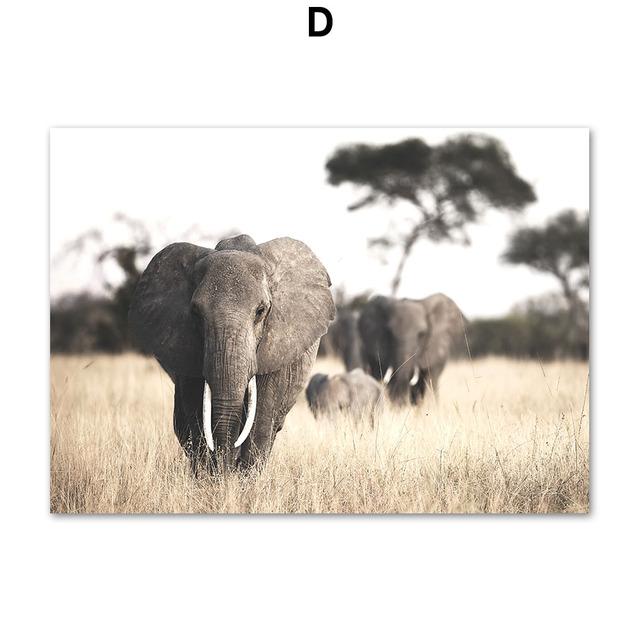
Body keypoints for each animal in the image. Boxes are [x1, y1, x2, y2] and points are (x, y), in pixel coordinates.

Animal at [129, 234, 335, 473]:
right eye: (196, 313)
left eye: (261, 311)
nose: (226, 470)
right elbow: (196, 410)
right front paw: (210, 477)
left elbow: (262, 415)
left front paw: (244, 478)